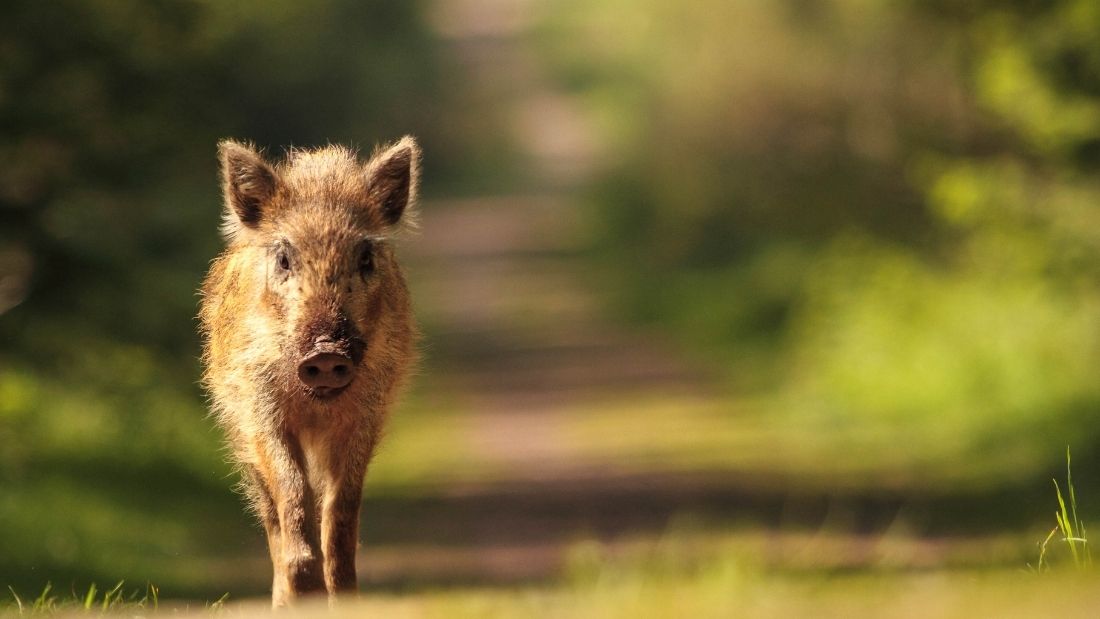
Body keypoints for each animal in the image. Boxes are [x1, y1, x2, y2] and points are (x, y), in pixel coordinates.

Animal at [199, 137, 419, 606]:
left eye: (365, 256)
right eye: (284, 258)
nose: (325, 354)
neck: (317, 406)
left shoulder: (368, 412)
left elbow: (342, 507)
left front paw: (343, 598)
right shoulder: (259, 407)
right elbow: (292, 489)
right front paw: (306, 587)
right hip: (239, 434)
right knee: (271, 513)